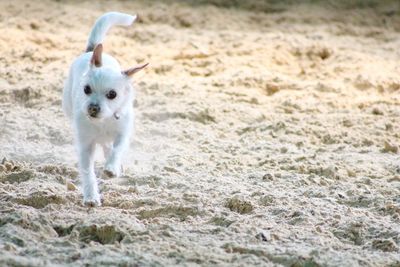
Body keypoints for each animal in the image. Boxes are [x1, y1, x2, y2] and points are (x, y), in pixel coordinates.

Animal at [63, 12, 148, 207]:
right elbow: (88, 172)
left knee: (109, 145)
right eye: (86, 89)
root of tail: (90, 51)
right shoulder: (86, 146)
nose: (93, 108)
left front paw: (111, 167)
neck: (104, 121)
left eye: (112, 94)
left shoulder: (123, 134)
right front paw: (91, 196)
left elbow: (118, 149)